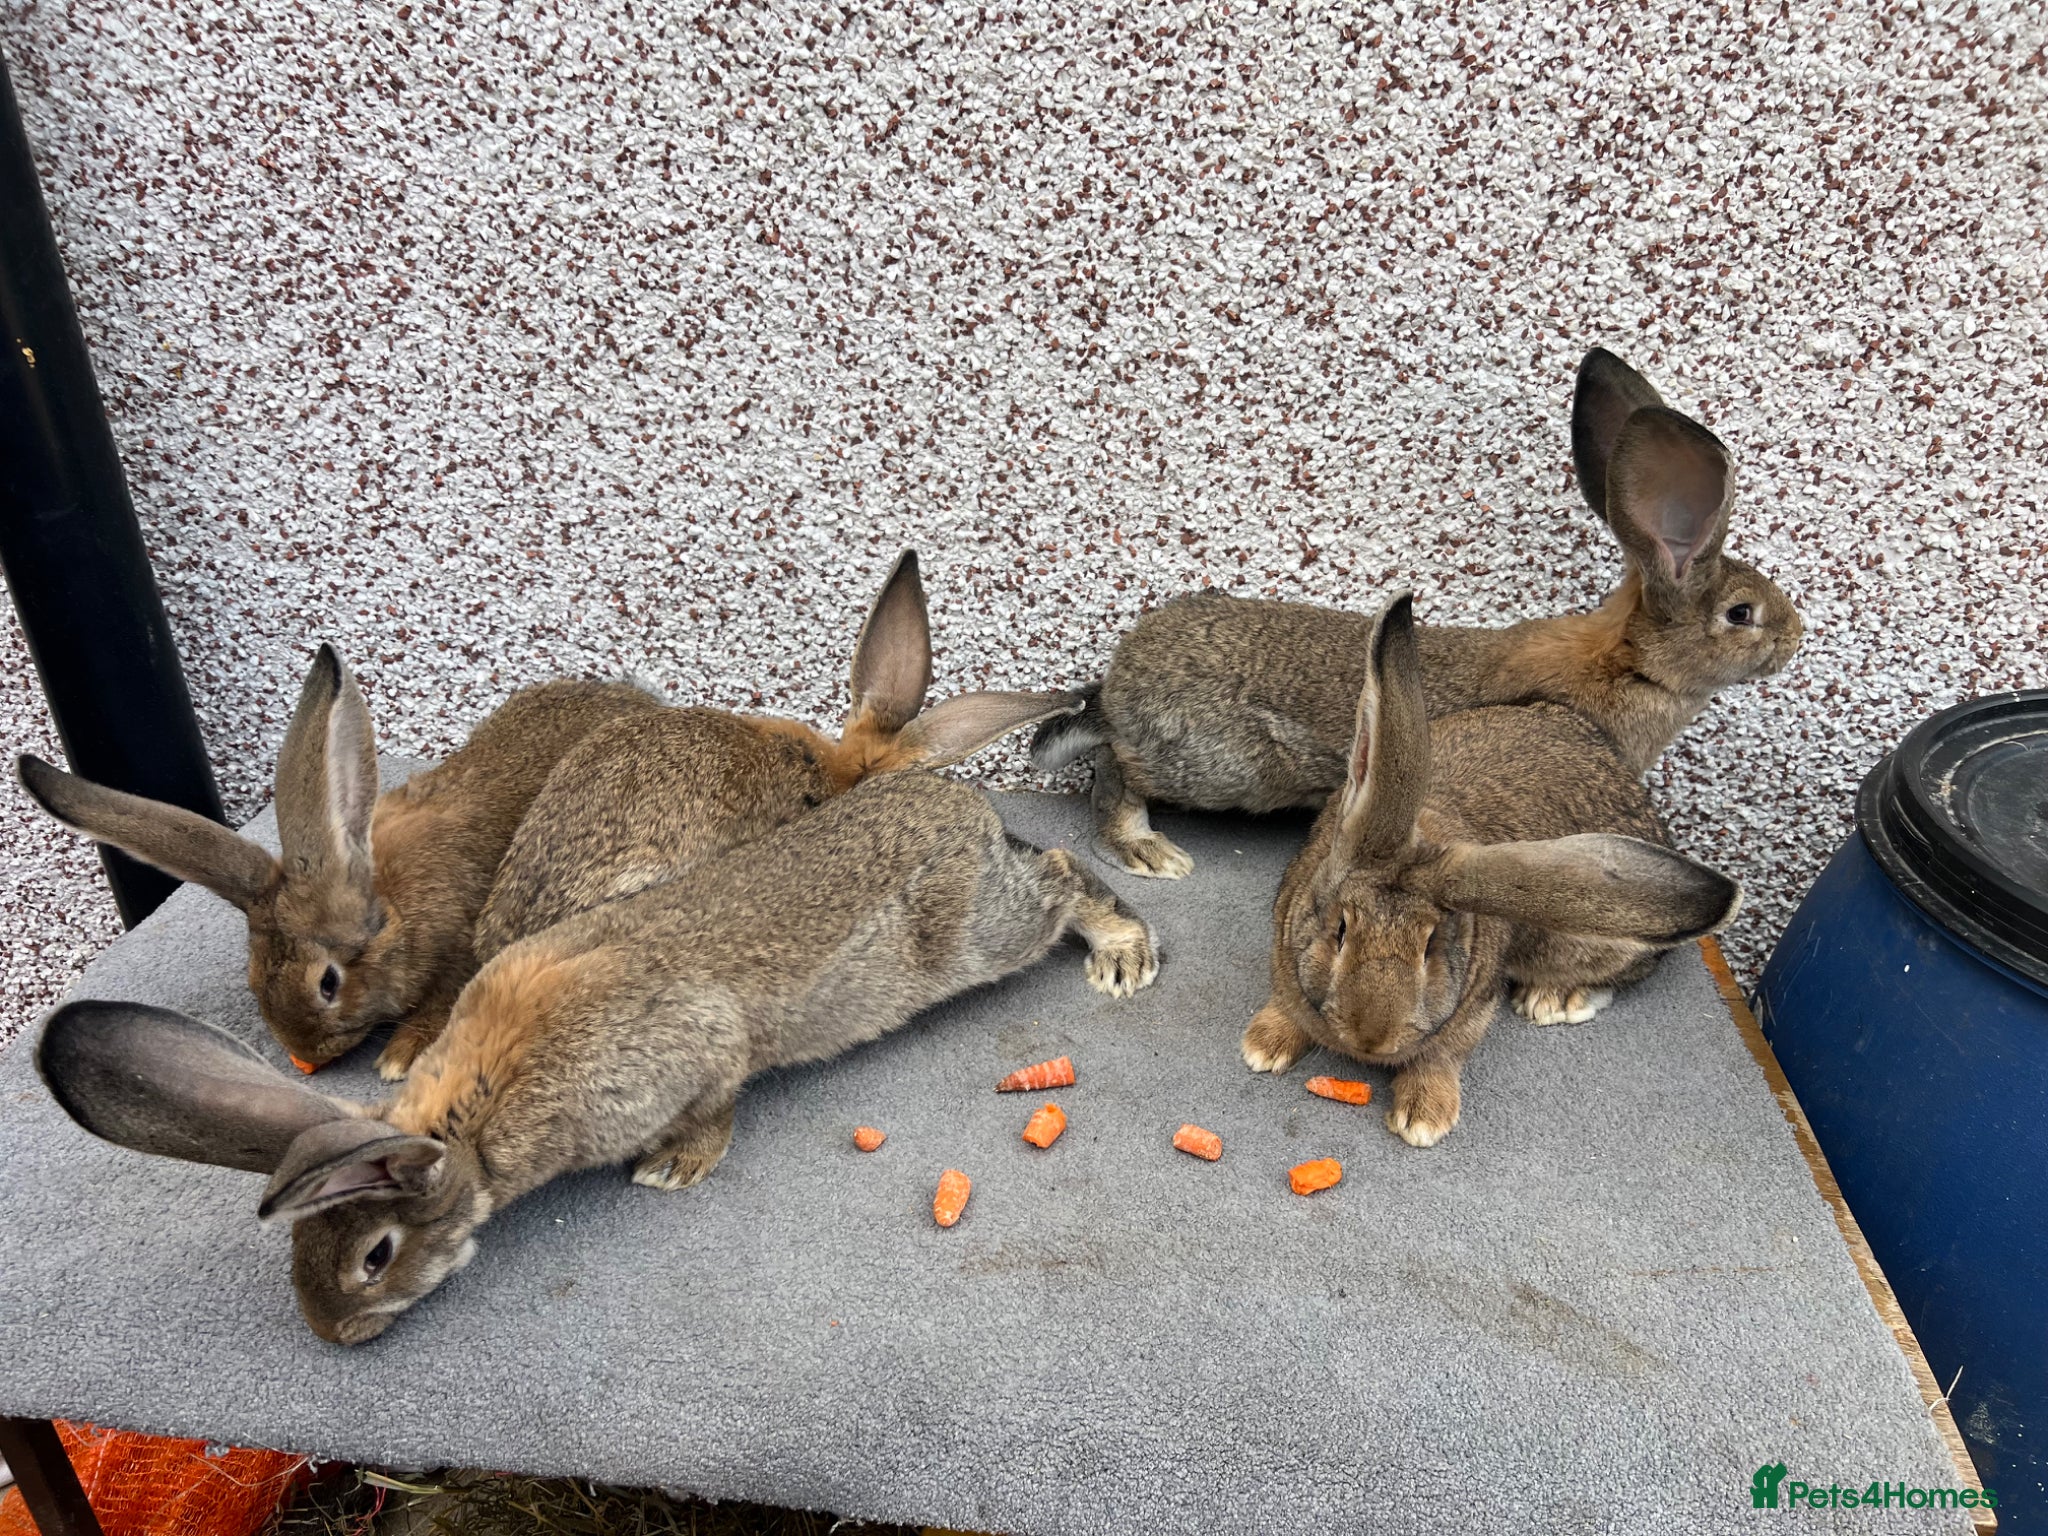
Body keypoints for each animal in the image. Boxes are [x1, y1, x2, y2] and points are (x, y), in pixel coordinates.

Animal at [36, 769, 1161, 1343]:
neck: (471, 1127)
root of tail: (962, 803)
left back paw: (1122, 953)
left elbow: (718, 1099)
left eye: (374, 1256)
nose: (333, 1334)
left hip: (976, 934)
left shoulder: (696, 1052)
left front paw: (674, 1169)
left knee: (1063, 875)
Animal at [1031, 347, 1802, 879]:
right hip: (1223, 766)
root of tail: (1119, 688)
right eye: (1741, 614)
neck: (1632, 662)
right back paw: (1146, 849)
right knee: (1117, 768)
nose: (1796, 638)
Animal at [1241, 592, 1742, 1148]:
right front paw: (1263, 1047)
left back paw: (1554, 1000)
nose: (1371, 1037)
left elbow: (1442, 1056)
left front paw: (1424, 1120)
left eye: (1431, 948)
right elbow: (1288, 1006)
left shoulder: (1472, 1012)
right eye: (1341, 931)